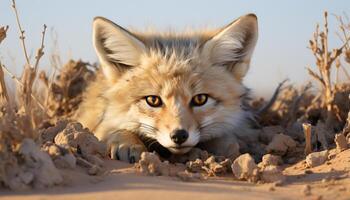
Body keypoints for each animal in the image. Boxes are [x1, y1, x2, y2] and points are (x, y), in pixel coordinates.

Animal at [74, 14, 258, 164]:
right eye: (153, 100)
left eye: (200, 99)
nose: (179, 136)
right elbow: (111, 129)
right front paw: (126, 142)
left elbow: (227, 140)